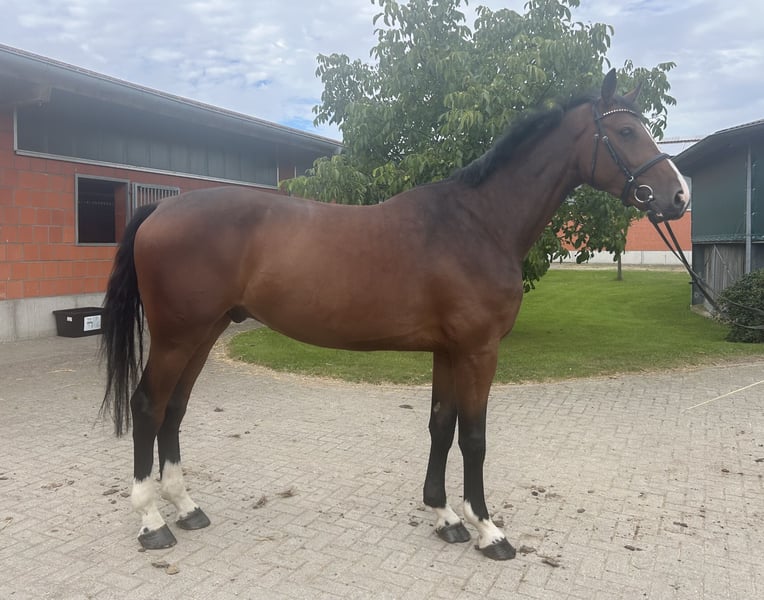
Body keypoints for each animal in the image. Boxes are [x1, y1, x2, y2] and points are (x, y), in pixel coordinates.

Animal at [100, 69, 689, 560]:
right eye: (628, 132)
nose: (679, 196)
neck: (478, 223)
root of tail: (162, 206)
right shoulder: (478, 350)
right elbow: (474, 437)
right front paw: (488, 530)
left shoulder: (448, 350)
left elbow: (441, 426)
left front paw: (445, 517)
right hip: (177, 336)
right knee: (148, 406)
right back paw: (153, 522)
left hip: (205, 332)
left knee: (174, 409)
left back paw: (187, 507)